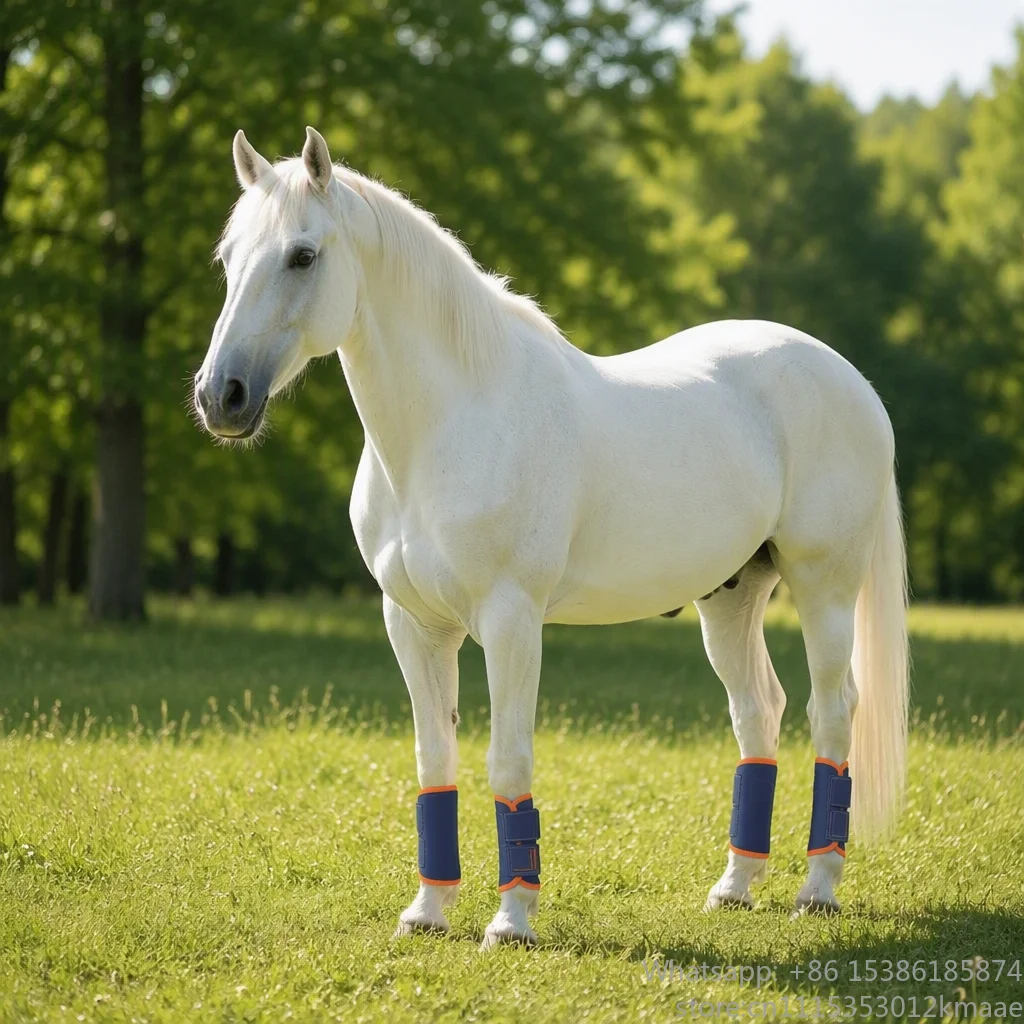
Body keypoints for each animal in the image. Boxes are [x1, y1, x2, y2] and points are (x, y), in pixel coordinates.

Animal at [194, 126, 909, 949]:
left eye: (303, 255)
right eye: (228, 259)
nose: (220, 397)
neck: (451, 424)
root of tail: (850, 379)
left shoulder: (511, 621)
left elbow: (508, 764)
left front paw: (510, 924)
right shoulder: (412, 625)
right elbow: (434, 762)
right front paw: (428, 912)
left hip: (825, 588)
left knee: (833, 712)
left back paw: (817, 889)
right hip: (730, 597)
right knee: (759, 712)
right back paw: (734, 887)